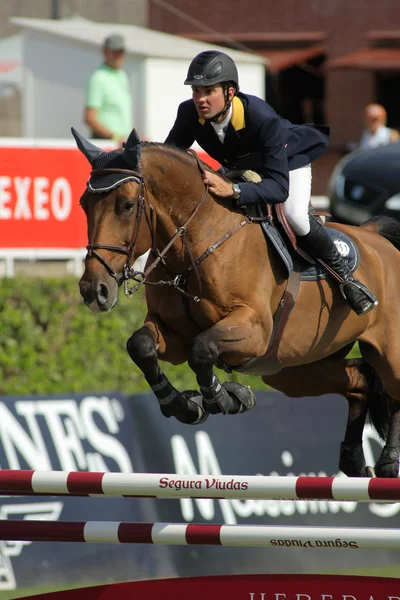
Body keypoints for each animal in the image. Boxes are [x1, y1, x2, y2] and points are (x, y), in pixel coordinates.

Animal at [72, 126, 400, 478]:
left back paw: (388, 461)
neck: (196, 242)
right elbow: (141, 346)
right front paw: (184, 405)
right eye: (83, 204)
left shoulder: (253, 330)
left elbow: (202, 350)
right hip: (294, 370)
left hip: (384, 352)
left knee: (392, 387)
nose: (93, 290)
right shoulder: (174, 334)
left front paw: (226, 398)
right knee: (360, 380)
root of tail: (375, 236)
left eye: (127, 205)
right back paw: (354, 460)